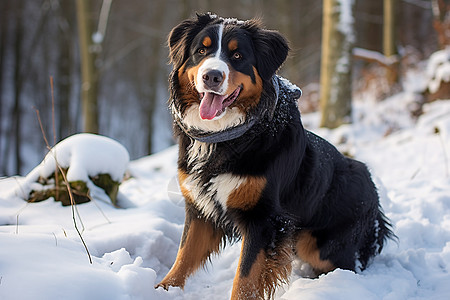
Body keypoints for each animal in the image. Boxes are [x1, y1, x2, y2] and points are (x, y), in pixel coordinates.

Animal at [156, 13, 394, 300]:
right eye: (201, 51)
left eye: (237, 55)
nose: (211, 75)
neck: (226, 137)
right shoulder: (199, 207)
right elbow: (184, 254)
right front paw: (163, 289)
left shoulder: (265, 219)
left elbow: (245, 278)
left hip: (318, 245)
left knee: (344, 265)